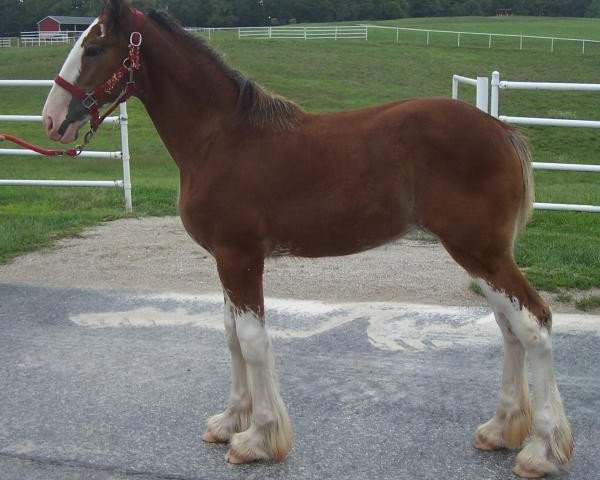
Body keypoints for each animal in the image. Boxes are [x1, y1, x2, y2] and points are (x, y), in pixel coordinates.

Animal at [39, 0, 576, 474]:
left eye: (93, 48)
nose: (51, 120)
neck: (220, 138)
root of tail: (501, 130)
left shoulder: (239, 257)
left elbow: (252, 341)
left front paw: (257, 440)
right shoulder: (225, 261)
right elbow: (231, 336)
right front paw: (230, 423)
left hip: (481, 252)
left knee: (534, 323)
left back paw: (541, 451)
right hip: (479, 254)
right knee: (510, 328)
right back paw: (501, 430)